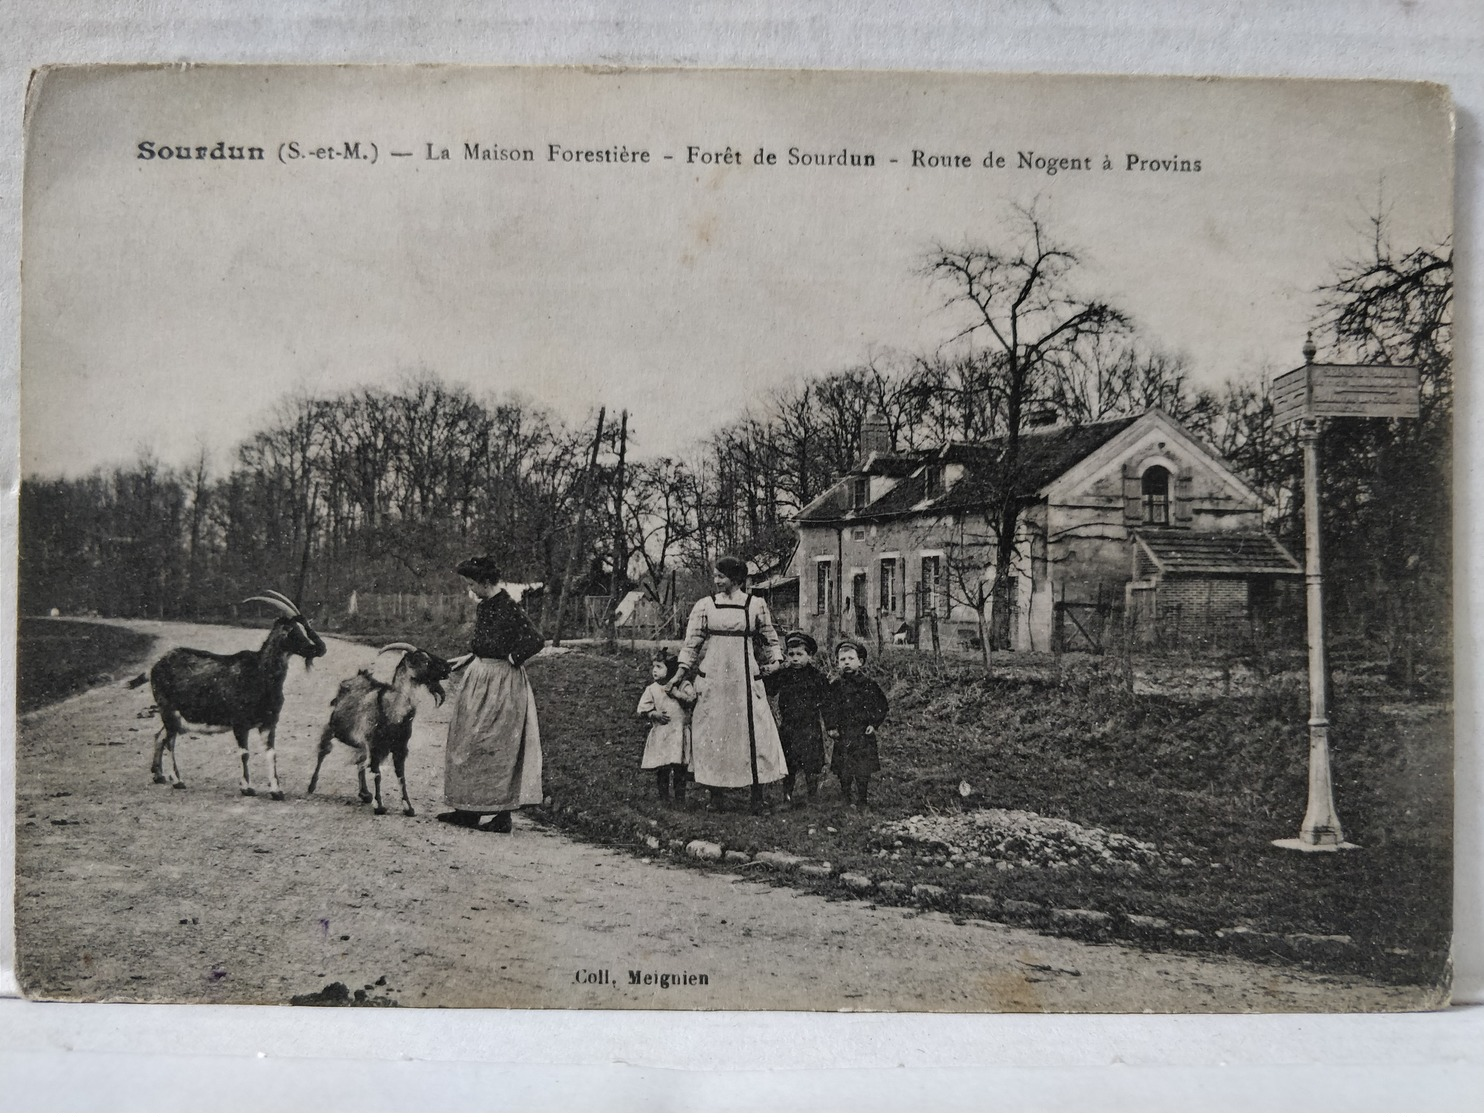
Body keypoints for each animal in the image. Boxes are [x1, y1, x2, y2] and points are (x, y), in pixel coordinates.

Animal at [129, 587, 326, 795]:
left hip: (173, 715)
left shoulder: (269, 723)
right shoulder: (240, 723)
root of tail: (154, 666)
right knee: (169, 741)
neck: (260, 673)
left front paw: (276, 791)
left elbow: (271, 753)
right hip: (168, 709)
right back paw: (177, 780)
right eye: (293, 631)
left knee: (160, 736)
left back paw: (158, 775)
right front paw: (247, 787)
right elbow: (245, 754)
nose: (319, 648)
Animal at [307, 640, 451, 812]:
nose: (448, 667)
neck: (393, 710)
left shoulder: (400, 747)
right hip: (332, 727)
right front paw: (380, 805)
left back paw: (364, 793)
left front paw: (408, 807)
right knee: (324, 751)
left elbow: (401, 776)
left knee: (360, 761)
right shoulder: (375, 745)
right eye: (425, 660)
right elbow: (377, 774)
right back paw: (312, 786)